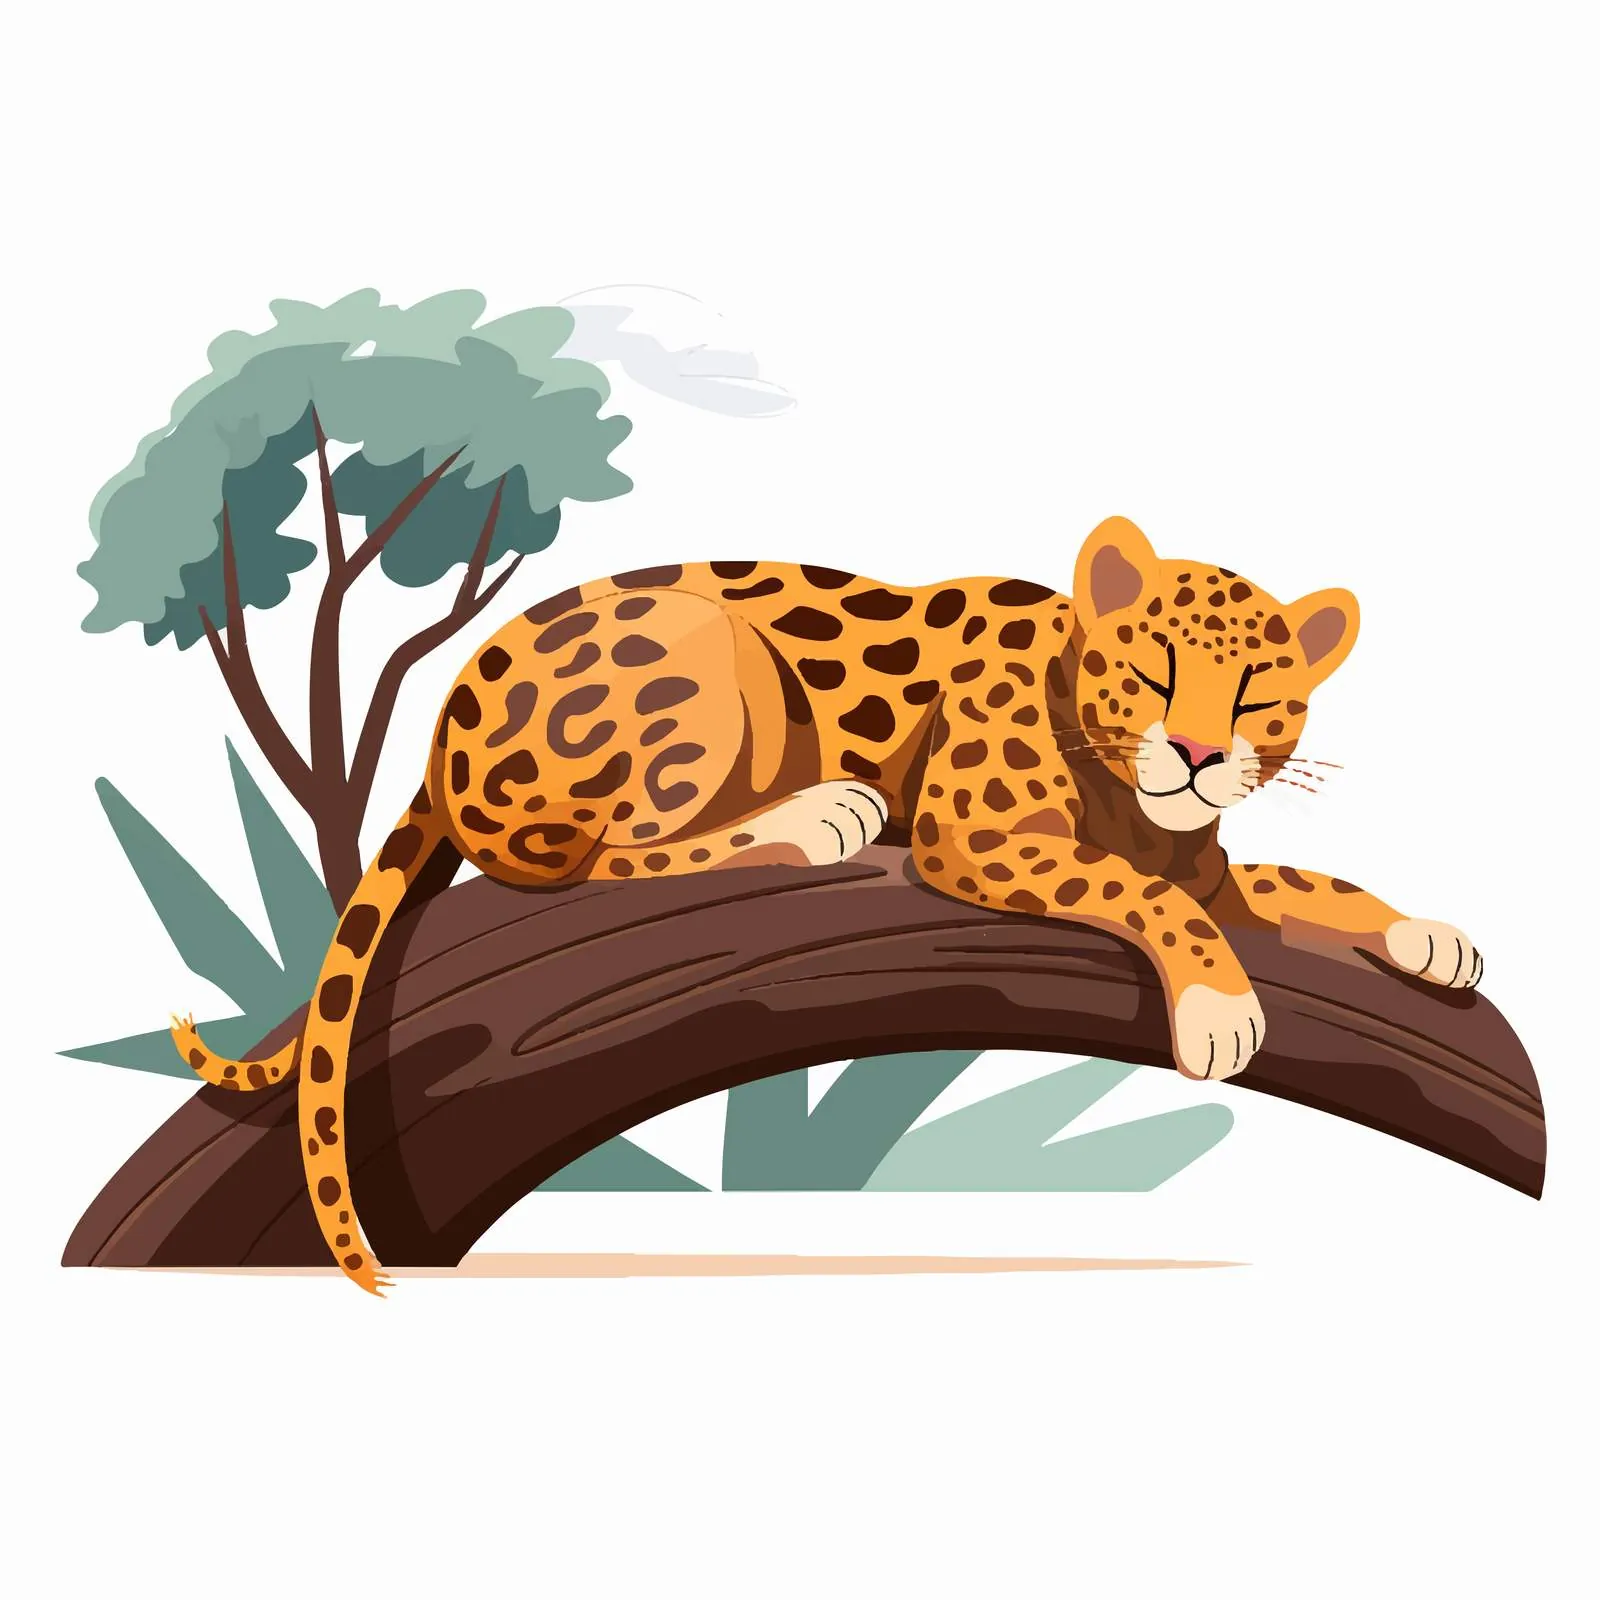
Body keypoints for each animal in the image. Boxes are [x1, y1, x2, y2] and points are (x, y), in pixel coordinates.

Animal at [172, 516, 1481, 1292]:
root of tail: (446, 720)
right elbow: (1137, 890)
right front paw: (1216, 1002)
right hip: (705, 655)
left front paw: (1433, 937)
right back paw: (813, 817)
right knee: (579, 858)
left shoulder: (1218, 867)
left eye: (1260, 691)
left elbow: (1313, 885)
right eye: (1153, 670)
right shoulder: (982, 833)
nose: (1204, 755)